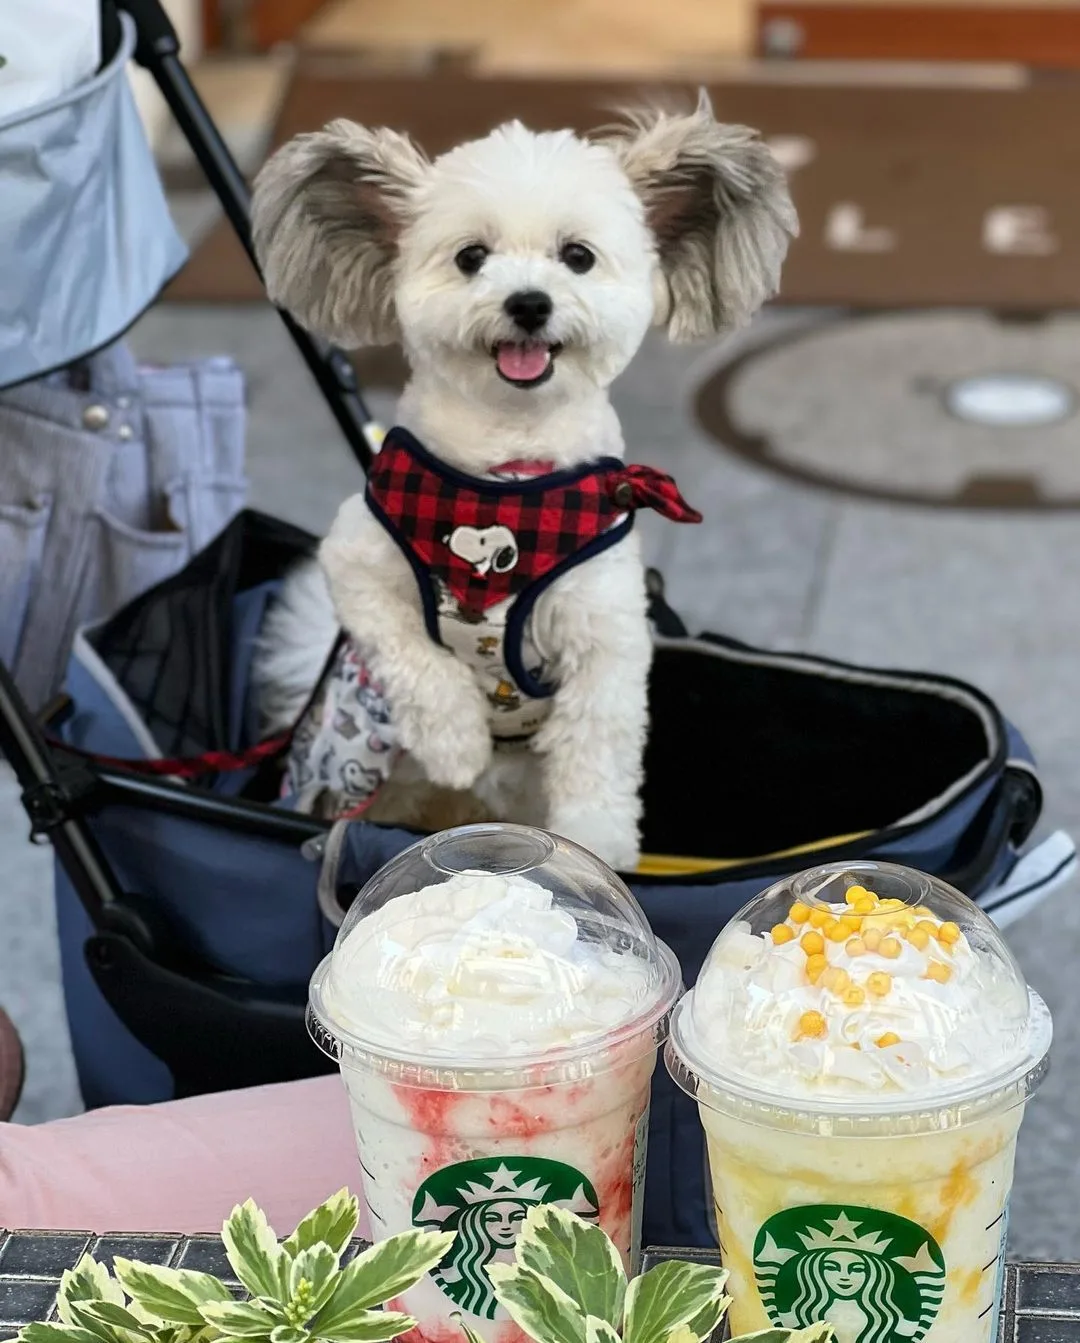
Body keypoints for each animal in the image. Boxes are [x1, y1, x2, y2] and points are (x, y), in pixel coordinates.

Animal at [248, 94, 795, 870]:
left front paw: (596, 842)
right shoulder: (356, 563)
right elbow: (415, 656)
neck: (506, 475)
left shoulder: (607, 630)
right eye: (471, 257)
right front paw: (454, 743)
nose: (529, 303)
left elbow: (599, 745)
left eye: (578, 256)